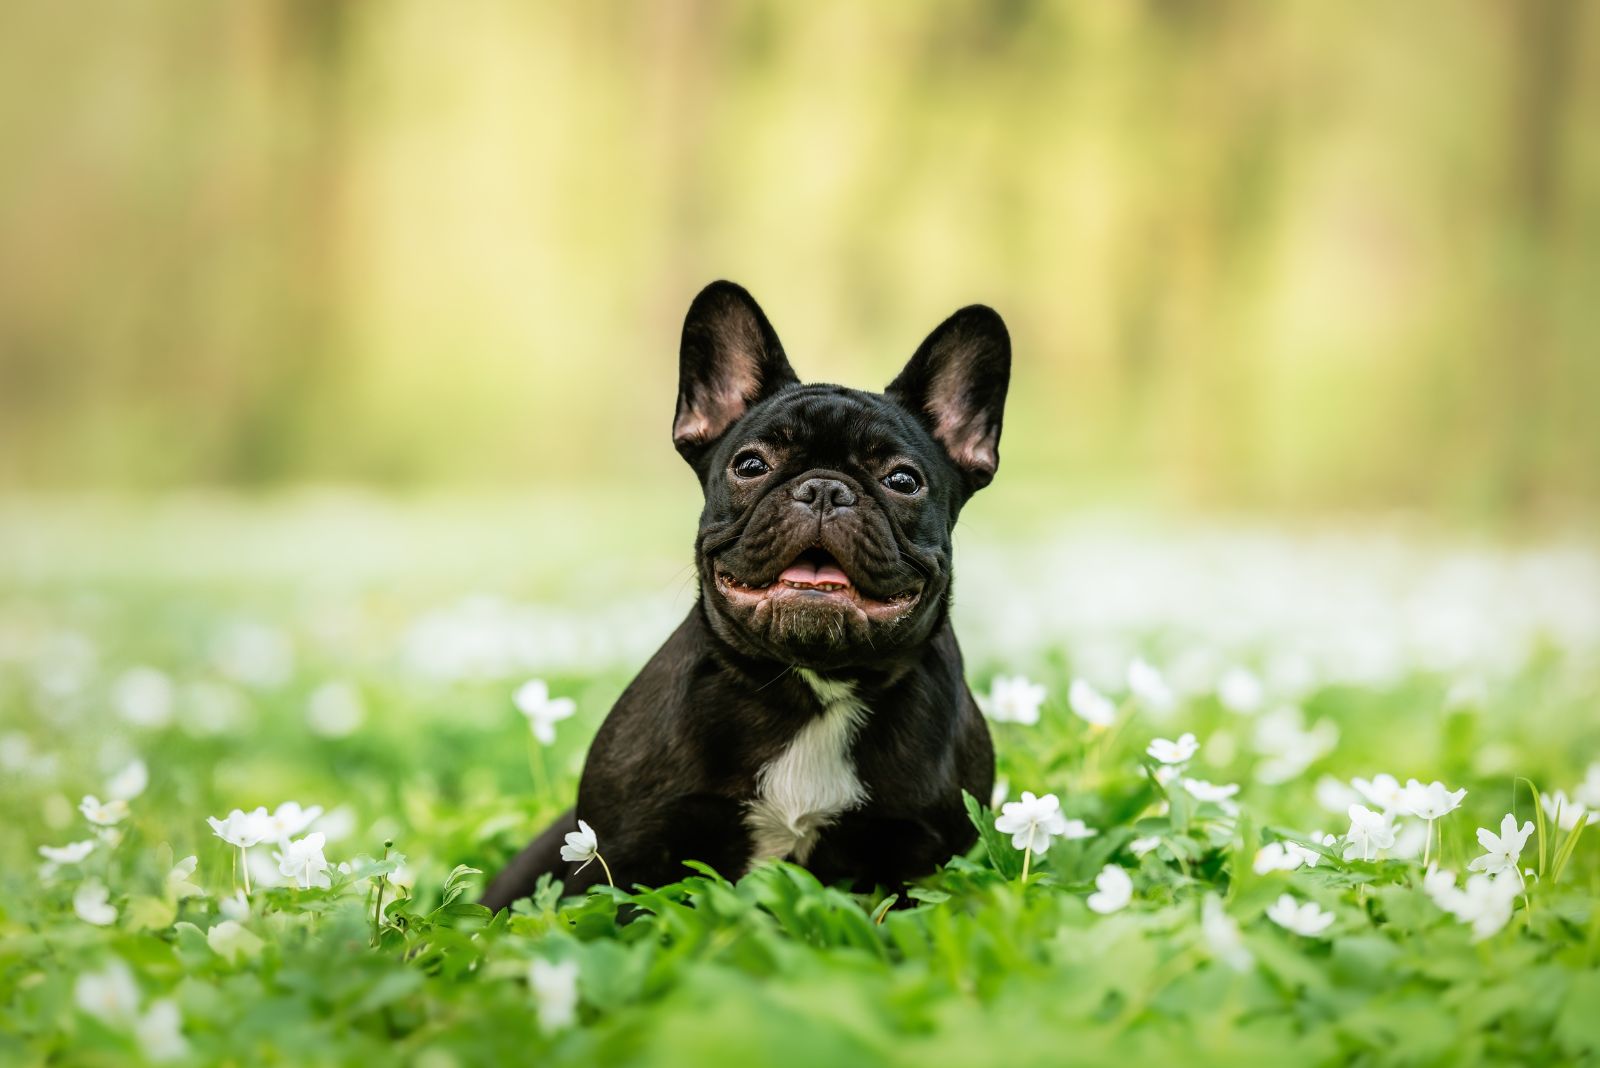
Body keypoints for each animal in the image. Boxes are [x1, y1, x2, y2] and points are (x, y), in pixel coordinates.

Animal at [480, 279, 1011, 908]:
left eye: (903, 481)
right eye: (751, 465)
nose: (825, 489)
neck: (813, 688)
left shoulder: (921, 856)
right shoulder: (625, 851)